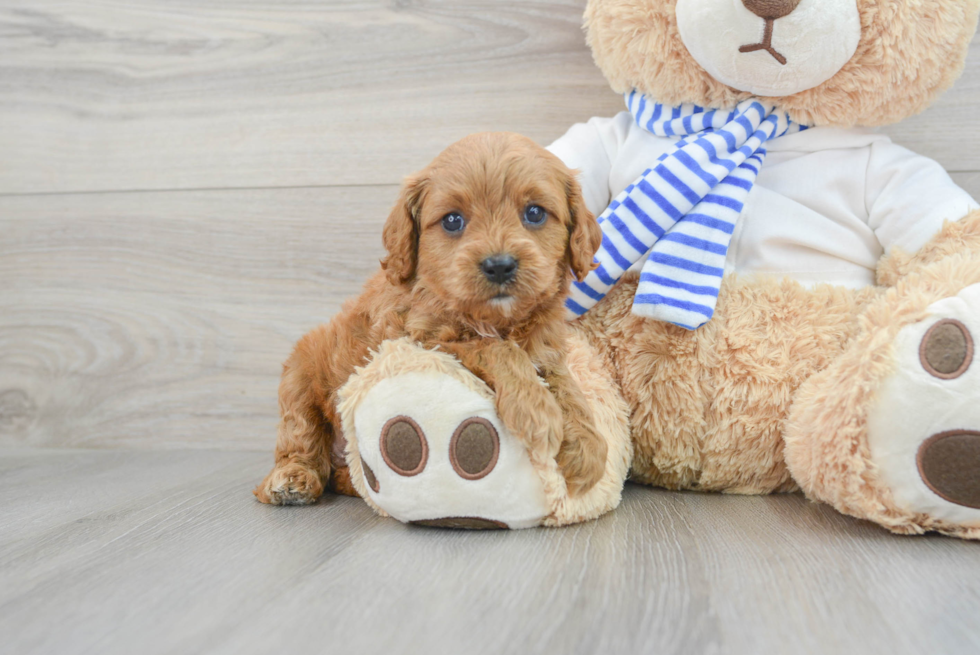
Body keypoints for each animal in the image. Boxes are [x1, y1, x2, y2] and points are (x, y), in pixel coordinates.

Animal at [253, 131, 604, 504]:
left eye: (535, 213)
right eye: (452, 220)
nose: (499, 265)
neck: (495, 319)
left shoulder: (545, 350)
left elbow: (567, 386)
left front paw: (588, 447)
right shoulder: (422, 339)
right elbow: (496, 349)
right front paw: (536, 410)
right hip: (301, 374)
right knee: (300, 436)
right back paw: (291, 479)